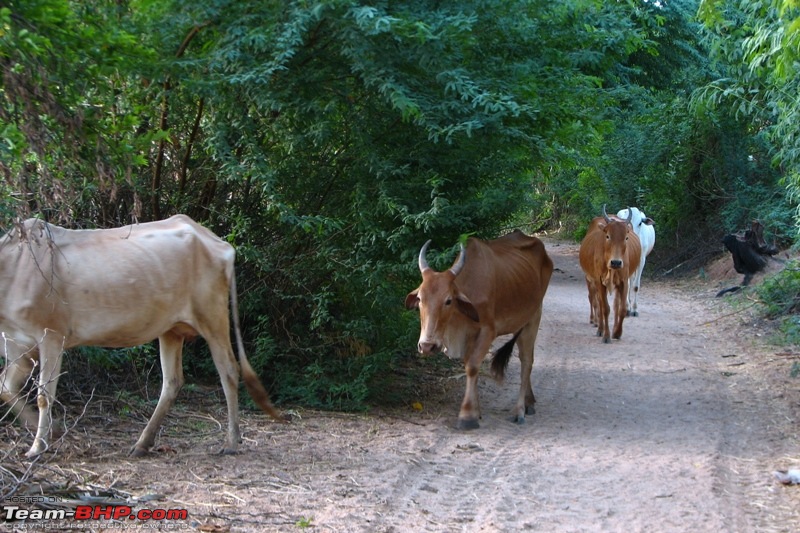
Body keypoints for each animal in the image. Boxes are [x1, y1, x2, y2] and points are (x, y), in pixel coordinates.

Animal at [404, 231, 552, 430]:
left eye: (448, 300)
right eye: (420, 298)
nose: (427, 346)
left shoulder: (487, 331)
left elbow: (472, 366)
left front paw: (467, 415)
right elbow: (468, 364)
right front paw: (476, 410)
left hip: (534, 316)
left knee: (527, 361)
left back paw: (519, 409)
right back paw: (529, 401)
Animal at [580, 206, 640, 342]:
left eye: (626, 238)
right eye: (607, 236)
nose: (616, 262)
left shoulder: (624, 281)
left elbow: (622, 309)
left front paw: (617, 332)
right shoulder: (599, 281)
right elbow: (605, 308)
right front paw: (606, 335)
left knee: (616, 305)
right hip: (593, 281)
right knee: (598, 302)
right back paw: (600, 328)